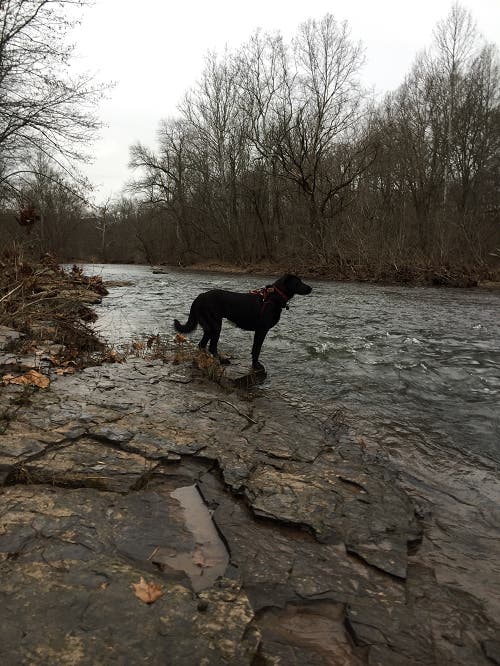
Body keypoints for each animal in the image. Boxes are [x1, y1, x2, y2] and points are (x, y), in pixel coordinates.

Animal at [174, 274, 312, 371]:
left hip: (209, 326)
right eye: (298, 282)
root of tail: (199, 297)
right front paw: (256, 366)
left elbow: (255, 349)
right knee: (211, 346)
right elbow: (256, 349)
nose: (311, 288)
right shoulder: (261, 330)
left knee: (202, 344)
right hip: (215, 326)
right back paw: (222, 361)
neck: (273, 297)